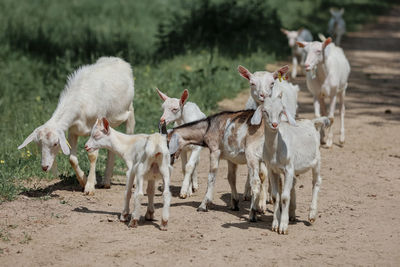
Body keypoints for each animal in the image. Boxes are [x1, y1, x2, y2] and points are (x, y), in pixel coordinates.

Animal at [18, 57, 136, 195]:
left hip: (129, 111)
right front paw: (83, 181)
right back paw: (106, 182)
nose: (45, 167)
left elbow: (92, 156)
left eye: (55, 144)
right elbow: (72, 159)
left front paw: (89, 186)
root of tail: (117, 59)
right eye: (38, 144)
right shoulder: (72, 130)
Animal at [252, 94, 330, 234]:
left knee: (316, 182)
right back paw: (292, 214)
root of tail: (312, 122)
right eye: (265, 111)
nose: (274, 124)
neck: (276, 149)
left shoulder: (288, 169)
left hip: (316, 161)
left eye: (280, 112)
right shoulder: (272, 169)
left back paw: (312, 215)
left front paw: (283, 227)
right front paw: (275, 224)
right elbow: (275, 197)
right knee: (294, 183)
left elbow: (284, 197)